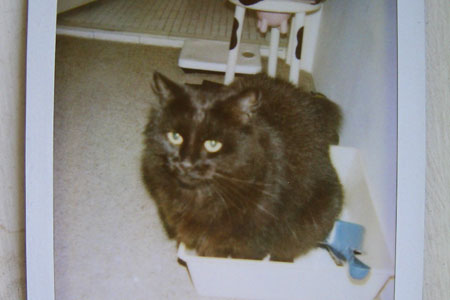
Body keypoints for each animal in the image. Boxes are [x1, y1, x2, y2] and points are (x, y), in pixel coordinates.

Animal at [142, 71, 342, 262]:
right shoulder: (209, 241)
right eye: (175, 137)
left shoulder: (252, 243)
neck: (202, 196)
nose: (185, 163)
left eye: (213, 144)